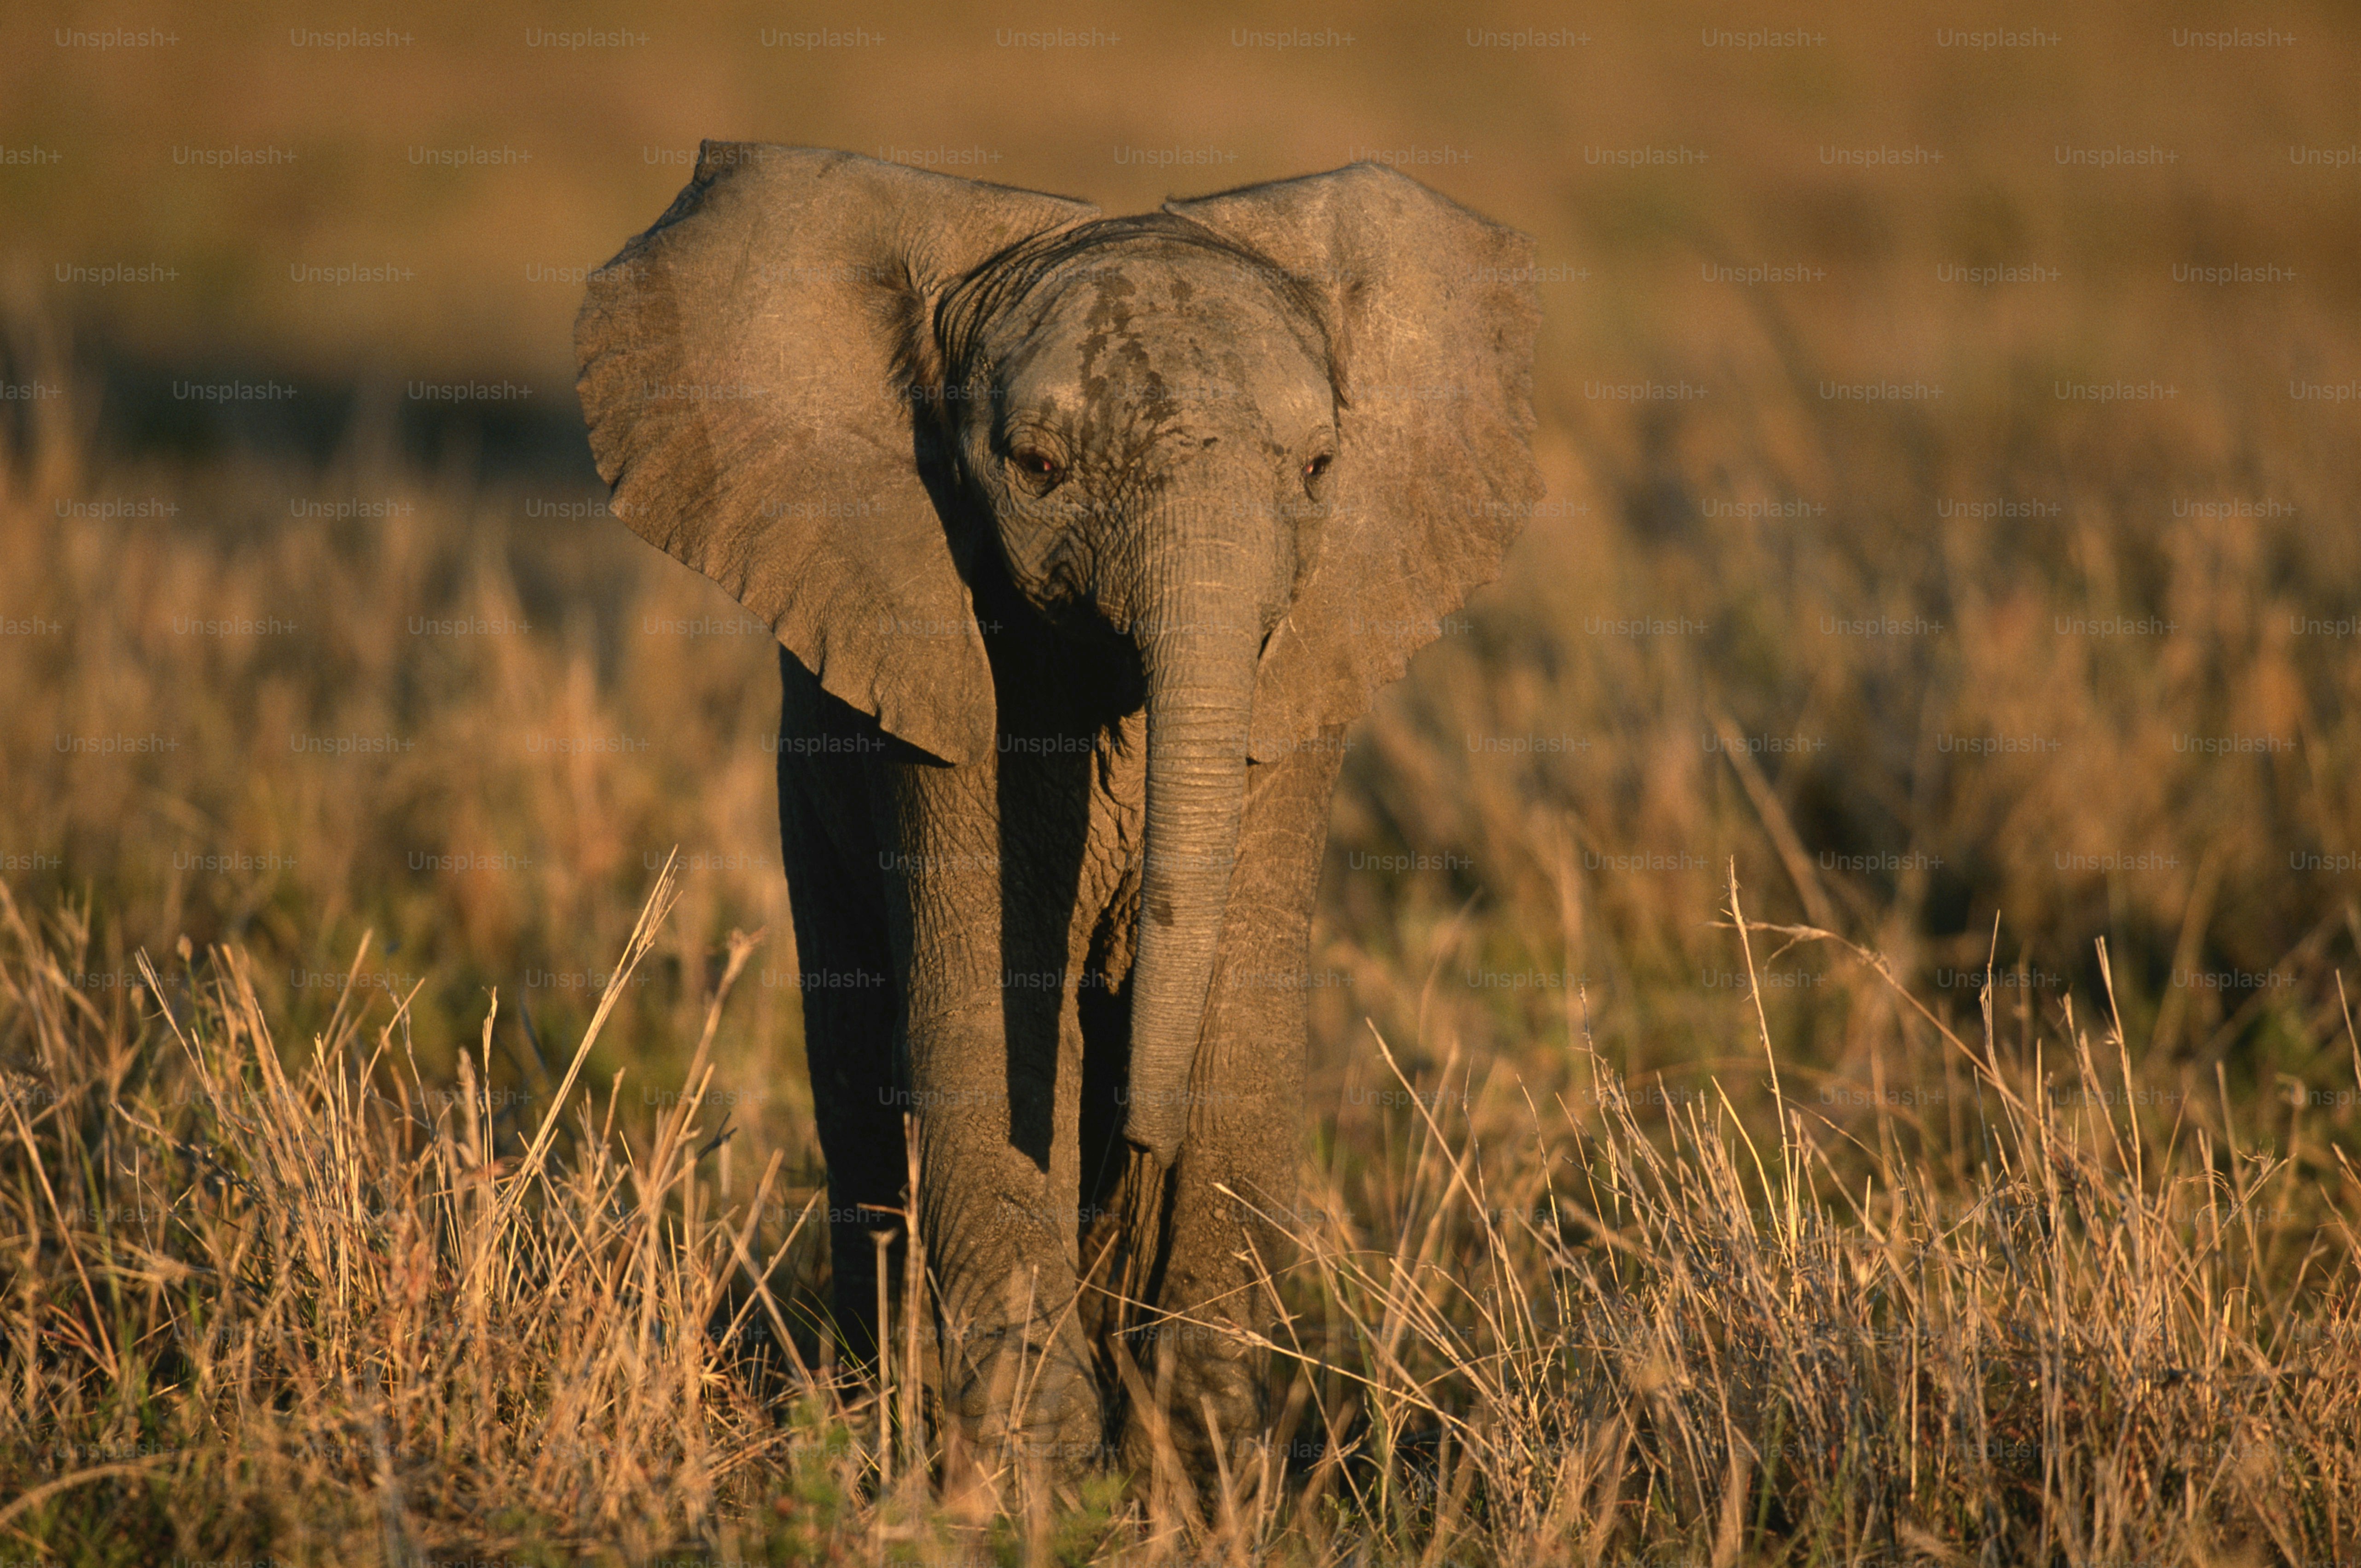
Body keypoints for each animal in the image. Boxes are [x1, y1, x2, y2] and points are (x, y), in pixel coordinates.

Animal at [574, 144, 1540, 1485]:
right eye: (1032, 469)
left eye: (1318, 472)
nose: (1139, 1143)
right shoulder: (940, 657)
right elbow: (988, 1012)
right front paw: (1034, 1477)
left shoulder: (1295, 682)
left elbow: (1241, 1019)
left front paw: (1205, 1463)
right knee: (857, 1057)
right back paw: (876, 1411)